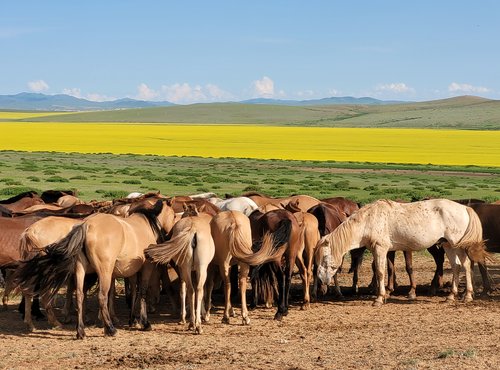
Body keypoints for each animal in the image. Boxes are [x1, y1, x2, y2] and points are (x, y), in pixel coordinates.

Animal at [13, 199, 176, 338]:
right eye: (174, 215)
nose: (171, 232)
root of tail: (86, 225)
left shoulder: (130, 272)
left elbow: (132, 293)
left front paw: (132, 319)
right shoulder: (145, 267)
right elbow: (140, 292)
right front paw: (143, 322)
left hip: (80, 270)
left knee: (78, 294)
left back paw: (79, 331)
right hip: (101, 272)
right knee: (99, 296)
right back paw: (109, 328)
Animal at [316, 199, 488, 306]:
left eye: (324, 258)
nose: (322, 279)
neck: (368, 220)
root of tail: (465, 208)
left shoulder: (380, 249)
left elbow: (380, 272)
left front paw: (379, 298)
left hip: (456, 245)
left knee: (466, 265)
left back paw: (467, 295)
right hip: (448, 245)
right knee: (456, 267)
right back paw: (451, 296)